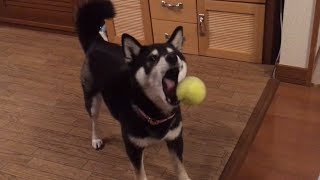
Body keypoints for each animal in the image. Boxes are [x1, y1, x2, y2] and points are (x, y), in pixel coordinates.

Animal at [75, 1, 190, 179]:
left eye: (176, 54)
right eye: (152, 58)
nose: (173, 58)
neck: (155, 112)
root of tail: (97, 42)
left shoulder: (175, 139)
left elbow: (180, 168)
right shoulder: (133, 148)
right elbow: (140, 174)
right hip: (91, 98)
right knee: (94, 120)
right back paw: (96, 139)